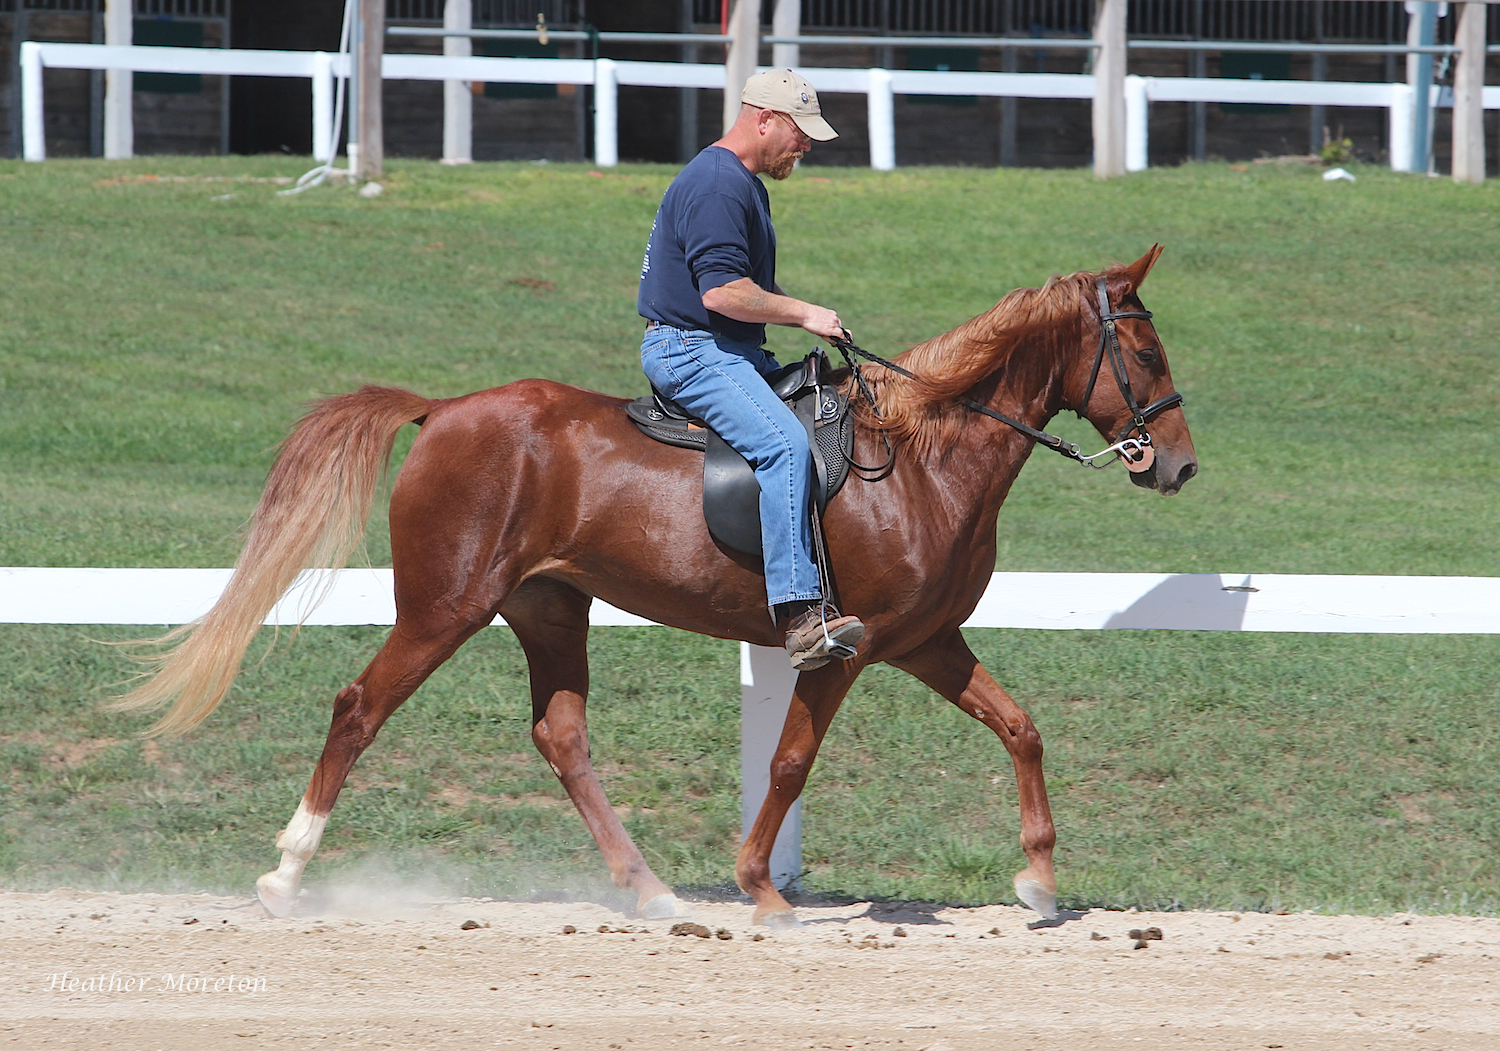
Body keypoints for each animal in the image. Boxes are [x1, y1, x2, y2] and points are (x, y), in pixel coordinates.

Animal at [114, 246, 1195, 928]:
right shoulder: (843, 650)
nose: (1178, 466)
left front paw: (1040, 879)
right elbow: (791, 762)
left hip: (548, 609)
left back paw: (650, 889)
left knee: (561, 737)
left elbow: (1021, 727)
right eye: (1144, 352)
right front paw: (761, 887)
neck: (924, 455)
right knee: (359, 707)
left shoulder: (925, 642)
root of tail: (446, 409)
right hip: (443, 608)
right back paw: (286, 873)